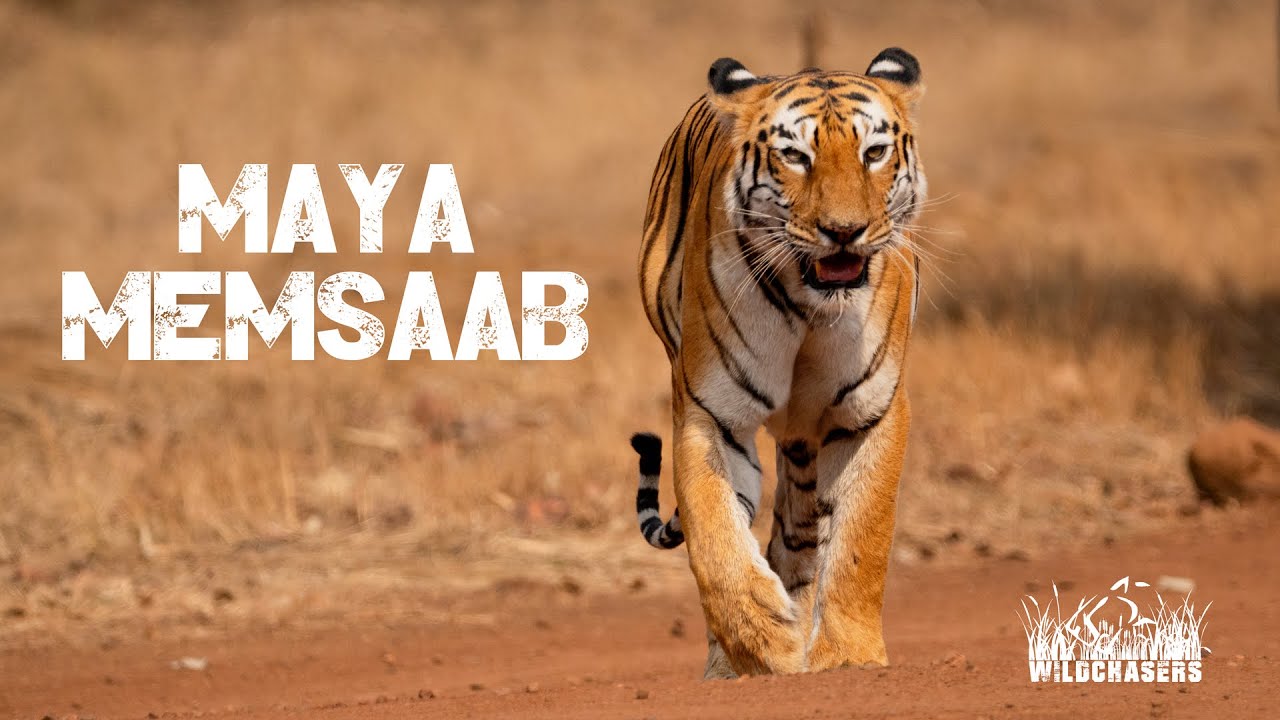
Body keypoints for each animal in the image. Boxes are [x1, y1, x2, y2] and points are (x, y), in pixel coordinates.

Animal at [631, 48, 927, 679]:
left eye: (874, 153)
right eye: (795, 156)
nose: (843, 232)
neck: (813, 306)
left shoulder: (873, 411)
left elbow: (862, 540)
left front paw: (848, 656)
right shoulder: (711, 414)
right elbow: (715, 535)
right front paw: (764, 642)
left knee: (799, 539)